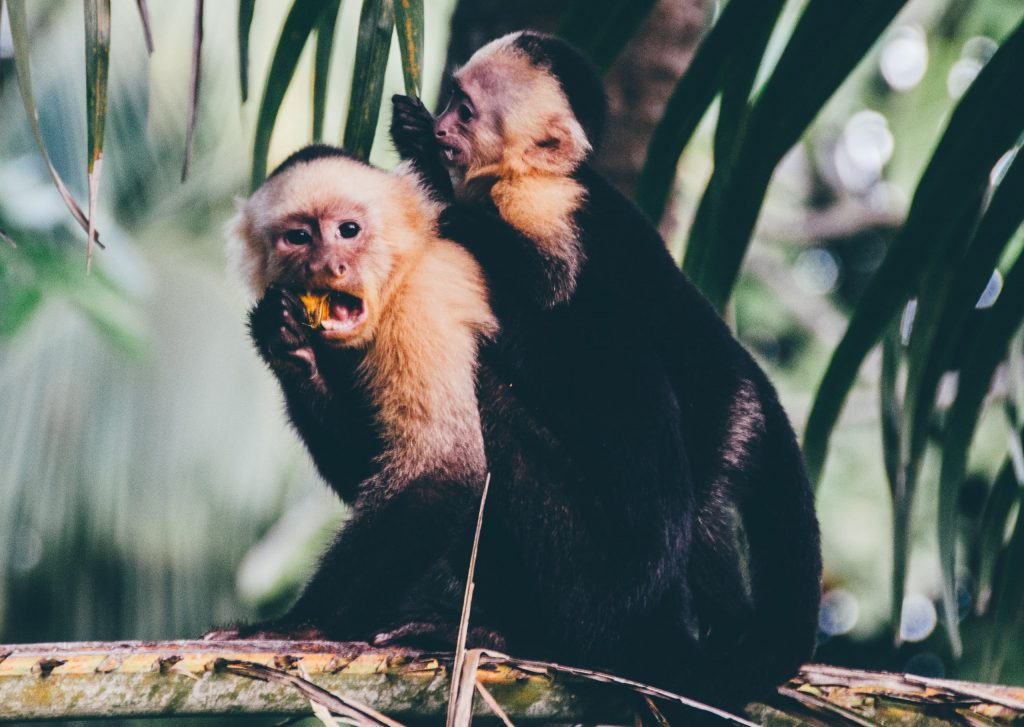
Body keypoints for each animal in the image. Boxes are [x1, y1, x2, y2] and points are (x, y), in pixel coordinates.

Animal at [391, 31, 823, 708]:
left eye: (465, 110)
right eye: (450, 101)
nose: (439, 128)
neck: (530, 172)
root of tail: (752, 378)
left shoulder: (546, 204)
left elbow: (545, 286)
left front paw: (437, 187)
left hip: (723, 415)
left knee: (697, 509)